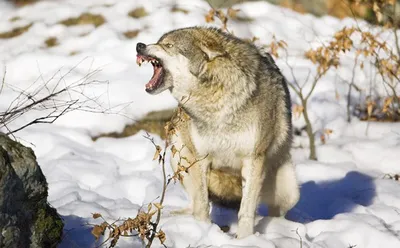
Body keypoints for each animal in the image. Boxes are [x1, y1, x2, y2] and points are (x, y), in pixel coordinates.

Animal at [136, 27, 298, 238]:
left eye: (168, 45)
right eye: (159, 42)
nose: (139, 45)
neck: (215, 102)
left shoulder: (253, 159)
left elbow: (246, 211)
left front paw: (244, 239)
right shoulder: (201, 158)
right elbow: (203, 205)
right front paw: (203, 230)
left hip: (289, 191)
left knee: (274, 211)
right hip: (178, 154)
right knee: (194, 204)